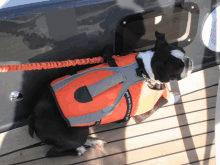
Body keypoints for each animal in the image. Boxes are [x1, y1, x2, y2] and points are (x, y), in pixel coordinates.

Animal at [27, 31, 192, 157]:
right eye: (178, 67)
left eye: (184, 52)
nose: (189, 61)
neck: (142, 69)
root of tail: (34, 115)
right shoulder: (142, 114)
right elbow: (163, 99)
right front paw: (172, 96)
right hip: (75, 133)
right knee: (53, 152)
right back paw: (79, 150)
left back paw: (95, 142)